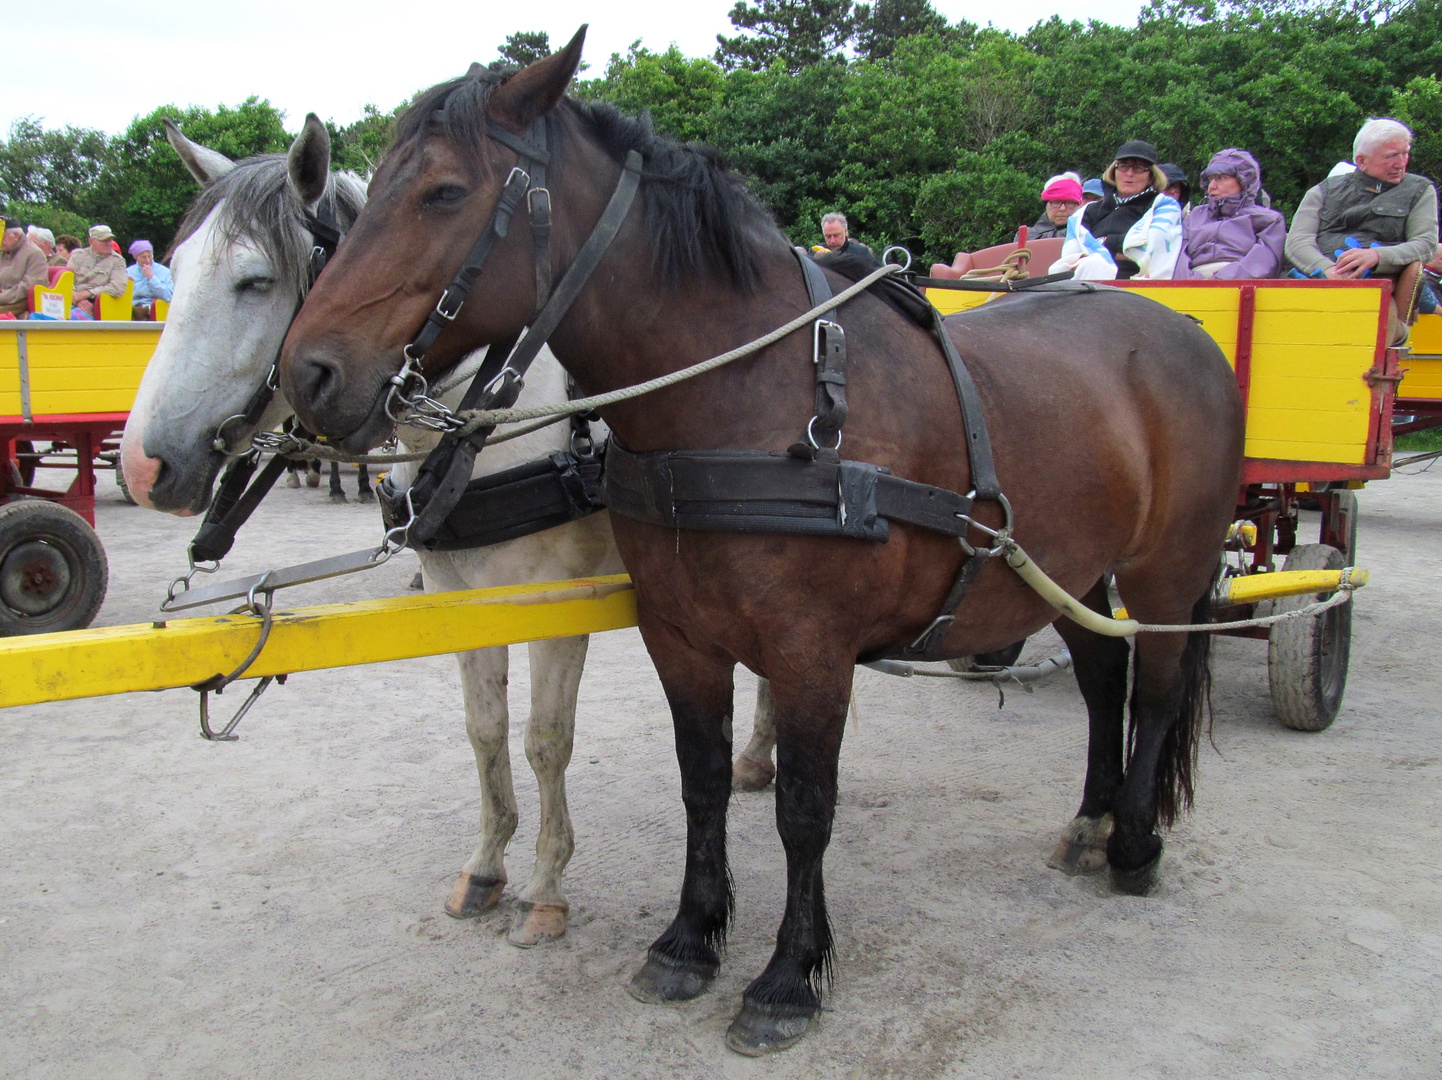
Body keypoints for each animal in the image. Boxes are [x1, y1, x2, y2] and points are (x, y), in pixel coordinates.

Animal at [119, 116, 784, 945]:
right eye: (173, 269)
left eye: (255, 281)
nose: (142, 465)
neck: (492, 416)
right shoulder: (456, 589)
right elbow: (486, 729)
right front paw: (487, 869)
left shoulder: (552, 601)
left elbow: (546, 739)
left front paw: (545, 887)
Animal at [278, 31, 1240, 1055]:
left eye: (445, 192)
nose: (309, 372)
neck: (753, 394)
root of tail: (1180, 326)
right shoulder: (679, 635)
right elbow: (701, 784)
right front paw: (689, 940)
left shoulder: (812, 650)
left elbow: (803, 810)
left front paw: (787, 977)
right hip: (1076, 570)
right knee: (1103, 677)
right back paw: (1091, 822)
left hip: (1167, 569)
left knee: (1159, 689)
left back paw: (1133, 841)